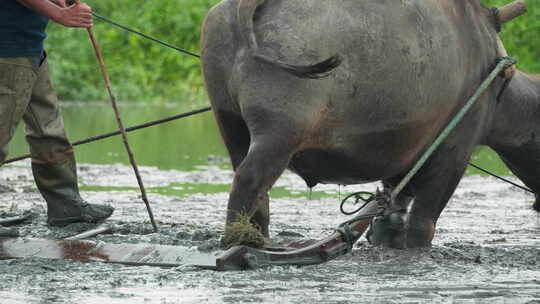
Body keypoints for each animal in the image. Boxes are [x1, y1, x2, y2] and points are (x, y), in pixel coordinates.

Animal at [200, 0, 536, 247]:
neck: (495, 79)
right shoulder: (454, 149)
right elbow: (423, 223)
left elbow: (394, 207)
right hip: (279, 133)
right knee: (249, 180)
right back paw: (237, 244)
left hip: (229, 121)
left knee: (254, 190)